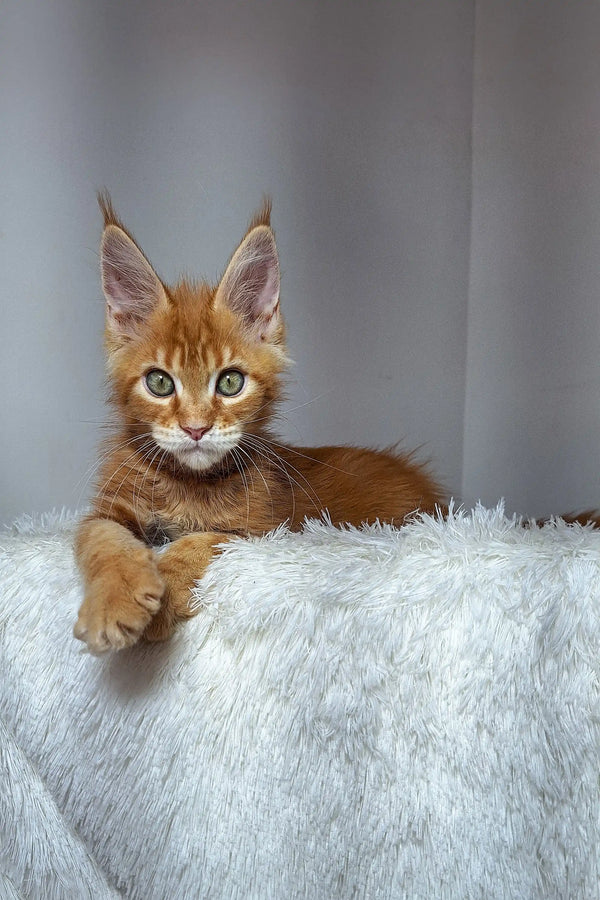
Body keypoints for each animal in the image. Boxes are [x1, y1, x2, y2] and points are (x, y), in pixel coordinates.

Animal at [72, 197, 442, 652]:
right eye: (159, 382)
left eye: (230, 382)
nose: (196, 428)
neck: (189, 483)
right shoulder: (106, 512)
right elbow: (106, 542)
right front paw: (114, 602)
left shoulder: (263, 531)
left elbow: (199, 541)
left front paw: (163, 601)